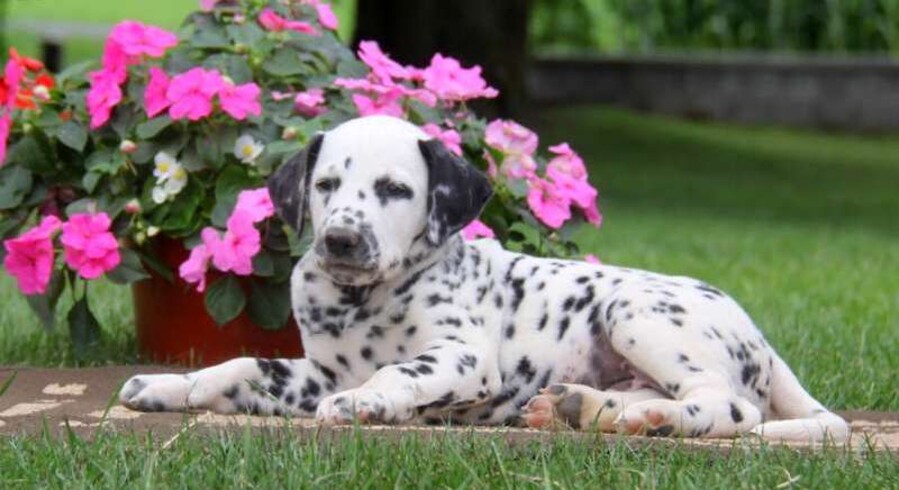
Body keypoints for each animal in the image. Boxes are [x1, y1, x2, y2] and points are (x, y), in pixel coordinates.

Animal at [121, 116, 852, 444]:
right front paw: (166, 386)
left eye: (394, 190)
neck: (360, 303)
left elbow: (399, 372)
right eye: (326, 185)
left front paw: (371, 403)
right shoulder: (314, 375)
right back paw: (586, 408)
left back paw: (649, 417)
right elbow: (238, 364)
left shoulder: (461, 358)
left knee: (728, 407)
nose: (340, 241)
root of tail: (758, 339)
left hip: (636, 313)